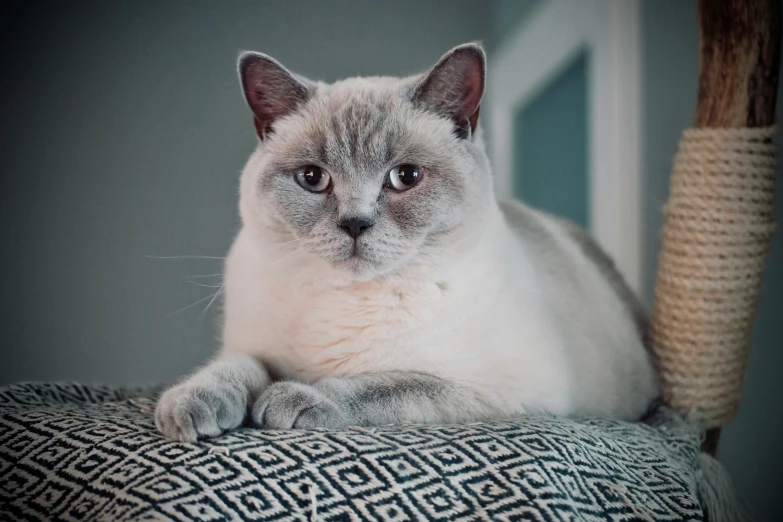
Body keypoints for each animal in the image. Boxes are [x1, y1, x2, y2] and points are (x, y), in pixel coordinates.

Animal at [155, 42, 660, 438]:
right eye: (313, 178)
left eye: (406, 177)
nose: (355, 224)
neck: (346, 300)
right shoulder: (255, 350)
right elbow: (230, 370)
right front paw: (187, 409)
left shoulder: (493, 389)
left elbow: (383, 385)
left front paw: (290, 400)